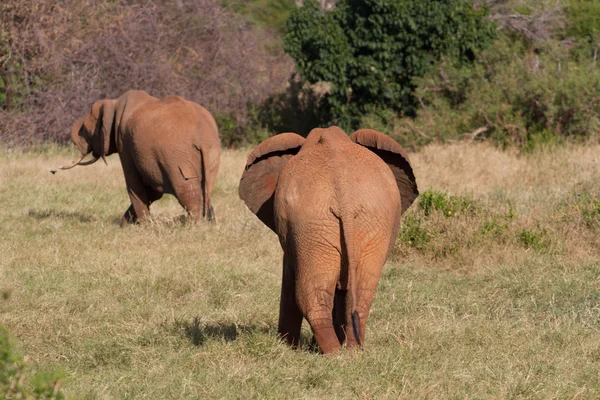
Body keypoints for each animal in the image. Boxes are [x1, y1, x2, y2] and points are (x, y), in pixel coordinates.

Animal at [58, 89, 220, 225]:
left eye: (85, 130)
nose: (56, 169)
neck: (113, 103)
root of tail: (203, 136)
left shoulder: (124, 143)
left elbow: (133, 183)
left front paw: (142, 226)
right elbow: (153, 190)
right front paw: (126, 225)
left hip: (177, 157)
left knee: (186, 190)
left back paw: (195, 226)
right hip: (211, 155)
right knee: (206, 189)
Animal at [238, 126, 418, 354]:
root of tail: (345, 196)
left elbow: (289, 280)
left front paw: (287, 346)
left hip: (320, 221)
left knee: (313, 293)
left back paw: (333, 353)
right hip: (353, 222)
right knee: (359, 291)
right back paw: (349, 350)